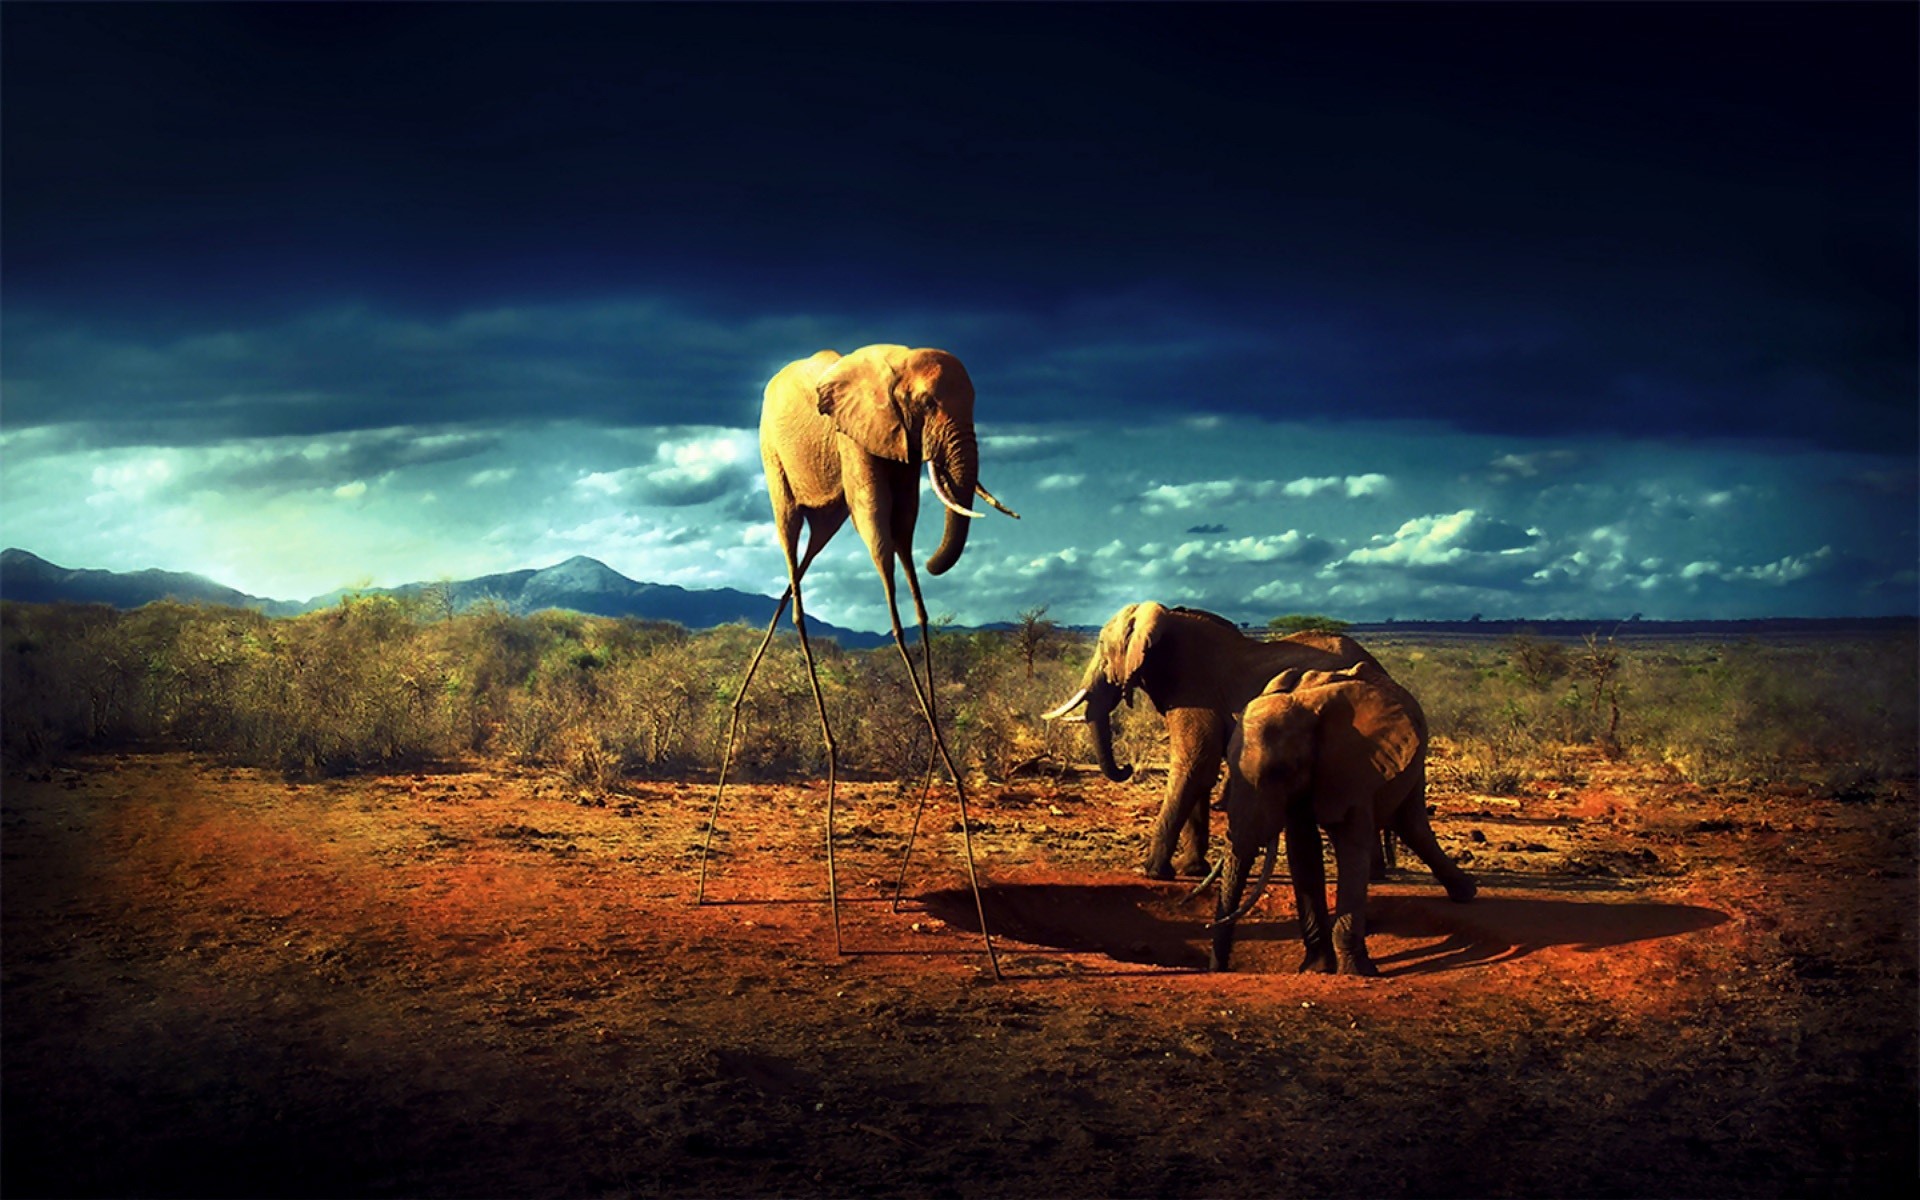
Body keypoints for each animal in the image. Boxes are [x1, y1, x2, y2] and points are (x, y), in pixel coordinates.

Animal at [1042, 602, 1389, 879]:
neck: (1165, 620)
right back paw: (1374, 875)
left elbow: (1195, 764)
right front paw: (1192, 871)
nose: (1127, 767)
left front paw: (1151, 872)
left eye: (1102, 646)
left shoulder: (1196, 691)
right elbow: (1200, 770)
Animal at [1209, 667, 1478, 975]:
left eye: (1280, 771)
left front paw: (1357, 972)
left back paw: (1465, 893)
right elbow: (1303, 851)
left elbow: (1351, 845)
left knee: (1412, 825)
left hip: (1414, 761)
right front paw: (1315, 969)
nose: (1220, 968)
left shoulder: (1354, 766)